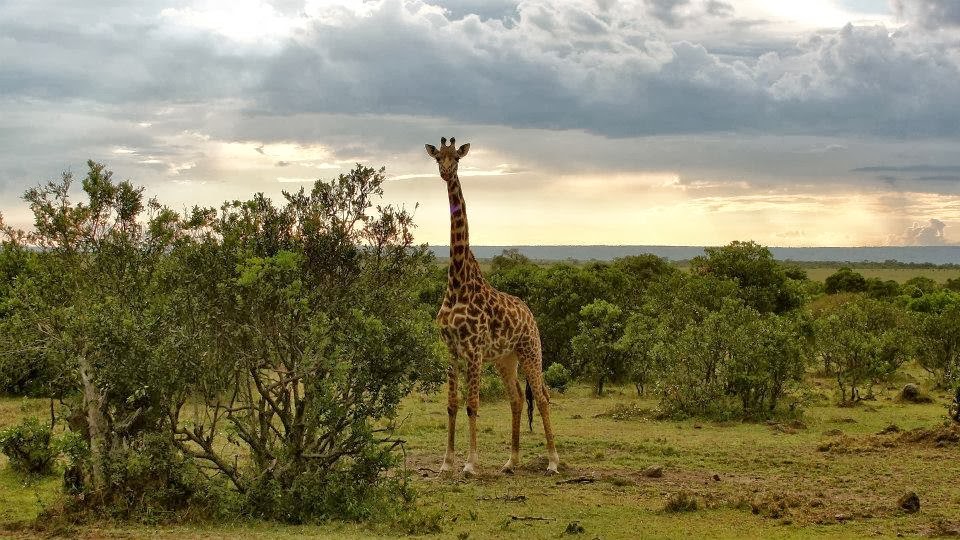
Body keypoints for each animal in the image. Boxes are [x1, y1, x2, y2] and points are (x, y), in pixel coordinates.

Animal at [425, 137, 559, 476]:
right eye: (438, 158)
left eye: (457, 158)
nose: (446, 172)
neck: (457, 284)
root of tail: (529, 313)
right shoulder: (451, 349)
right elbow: (452, 404)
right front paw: (446, 462)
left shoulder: (473, 350)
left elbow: (472, 405)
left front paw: (470, 464)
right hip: (505, 359)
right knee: (516, 399)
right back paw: (510, 462)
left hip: (530, 350)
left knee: (542, 396)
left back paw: (553, 461)